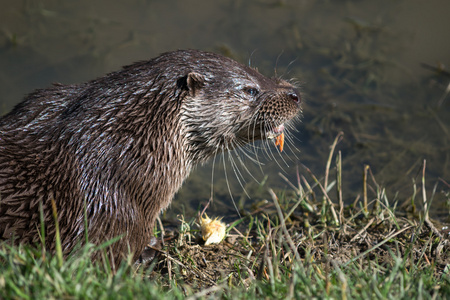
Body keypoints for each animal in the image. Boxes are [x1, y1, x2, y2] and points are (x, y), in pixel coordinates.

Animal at [0, 49, 302, 268]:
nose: (295, 94)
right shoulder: (108, 211)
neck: (130, 146)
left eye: (258, 72)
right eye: (250, 90)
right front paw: (149, 252)